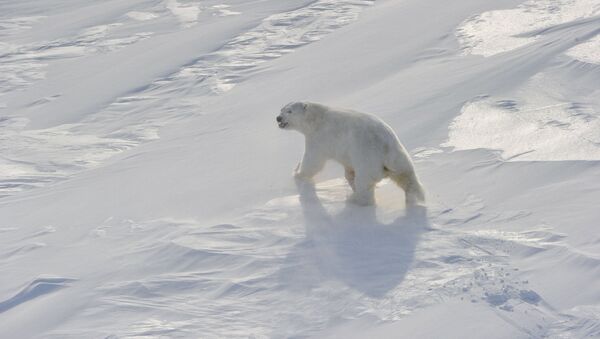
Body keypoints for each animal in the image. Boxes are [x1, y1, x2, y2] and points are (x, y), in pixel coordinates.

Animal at [278, 101, 426, 207]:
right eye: (282, 109)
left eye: (289, 111)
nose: (278, 118)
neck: (316, 119)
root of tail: (385, 146)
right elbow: (348, 169)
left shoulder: (319, 138)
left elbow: (313, 161)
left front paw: (297, 172)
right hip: (399, 156)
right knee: (407, 178)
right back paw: (413, 199)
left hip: (366, 159)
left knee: (365, 185)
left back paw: (355, 200)